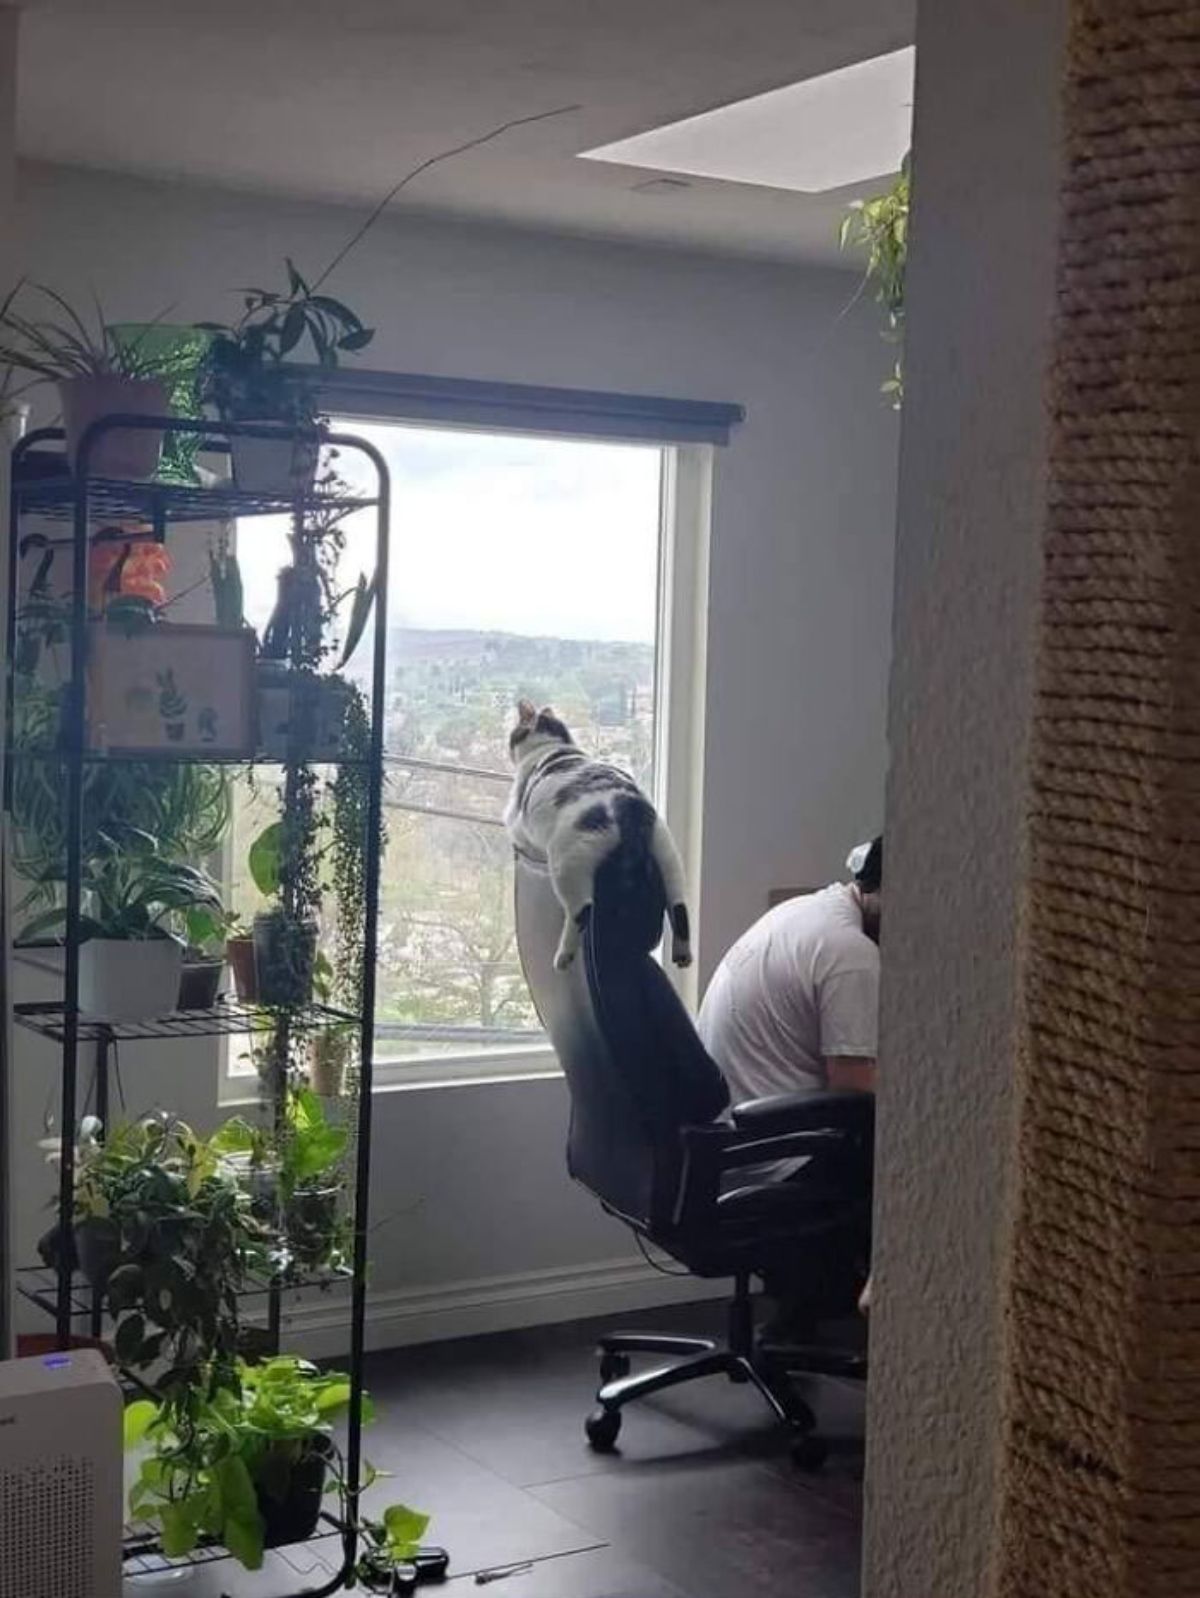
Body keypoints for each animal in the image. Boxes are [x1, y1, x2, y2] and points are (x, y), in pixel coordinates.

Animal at [508, 699, 693, 971]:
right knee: (680, 909)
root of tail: (628, 805)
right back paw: (683, 955)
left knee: (581, 911)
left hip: (568, 863)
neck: (552, 745)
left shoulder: (516, 820)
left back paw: (563, 956)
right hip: (669, 858)